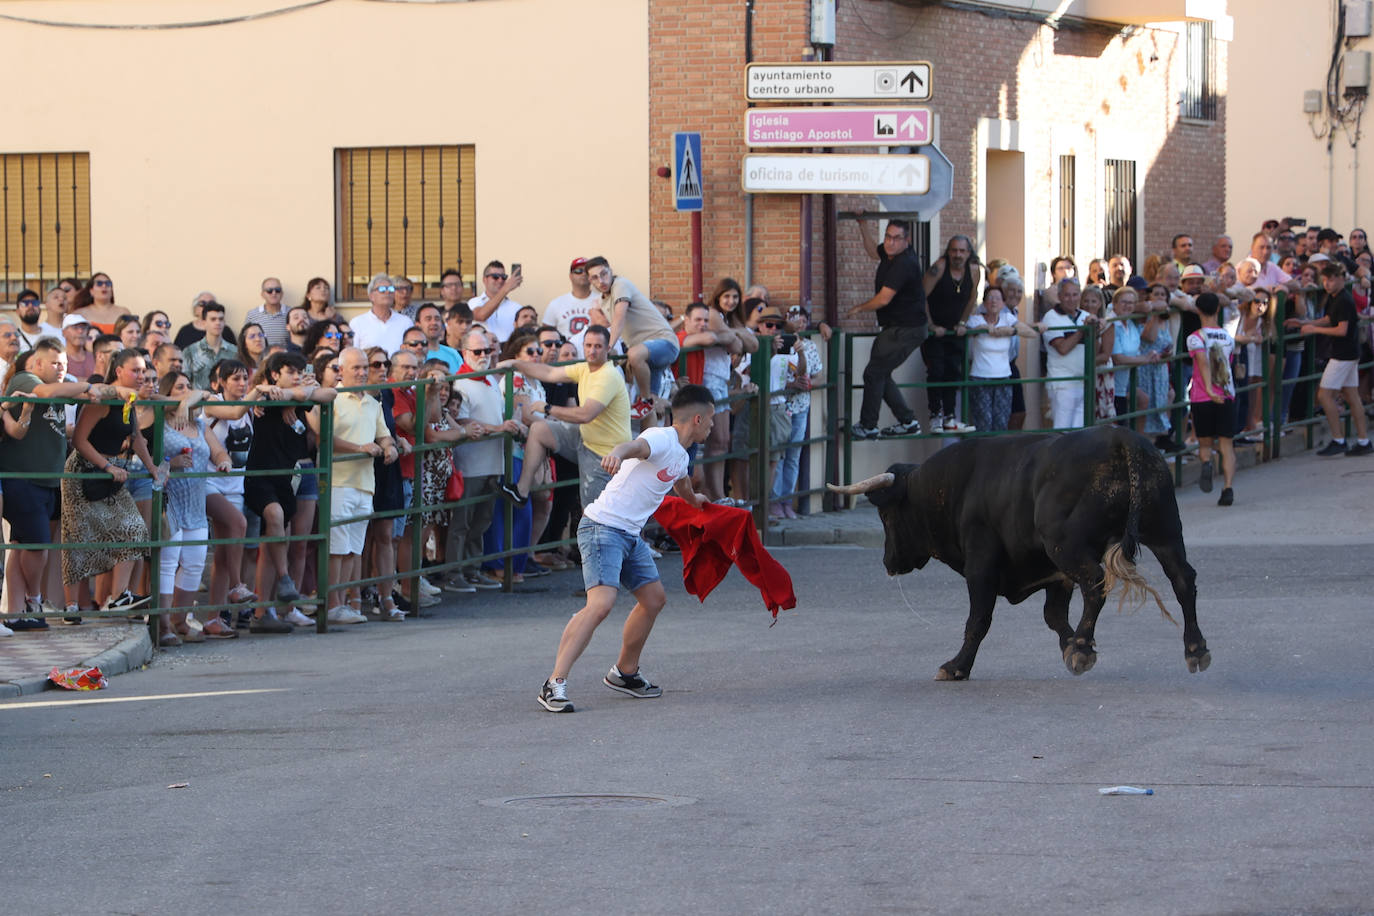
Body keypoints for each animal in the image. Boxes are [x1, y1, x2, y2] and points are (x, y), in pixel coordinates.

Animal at [829, 425, 1209, 678]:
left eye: (885, 514)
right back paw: (1195, 649)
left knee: (1095, 584)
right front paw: (1069, 645)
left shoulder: (981, 566)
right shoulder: (1054, 573)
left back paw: (1084, 648)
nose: (888, 562)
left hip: (1067, 545)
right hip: (1164, 531)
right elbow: (1053, 615)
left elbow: (978, 619)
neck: (955, 486)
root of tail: (1119, 437)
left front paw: (956, 666)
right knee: (1182, 580)